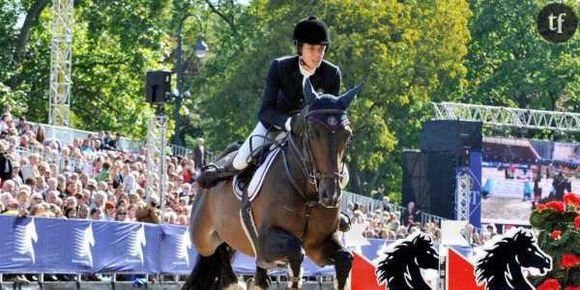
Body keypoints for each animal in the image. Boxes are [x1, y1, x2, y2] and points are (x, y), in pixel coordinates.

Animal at [184, 80, 362, 290]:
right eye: (312, 134)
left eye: (348, 137)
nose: (330, 195)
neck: (308, 194)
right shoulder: (266, 241)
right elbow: (295, 252)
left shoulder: (319, 244)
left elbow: (344, 258)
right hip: (204, 237)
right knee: (215, 251)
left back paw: (256, 279)